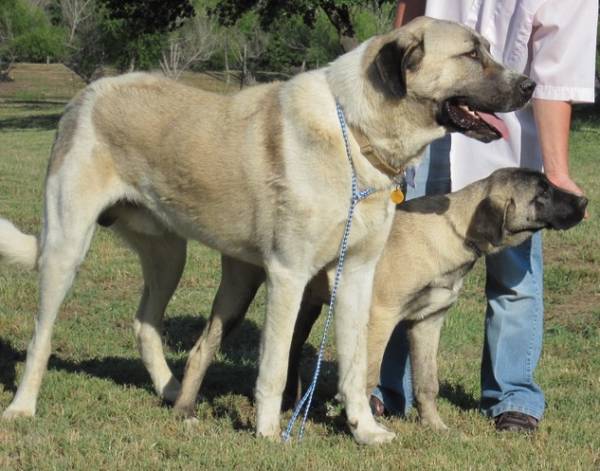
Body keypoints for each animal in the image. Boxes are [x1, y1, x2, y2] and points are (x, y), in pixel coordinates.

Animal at [0, 14, 536, 442]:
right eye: (471, 54)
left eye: (487, 48)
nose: (530, 85)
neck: (355, 134)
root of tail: (88, 93)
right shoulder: (288, 275)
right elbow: (276, 367)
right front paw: (268, 432)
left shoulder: (357, 277)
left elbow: (357, 364)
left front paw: (364, 431)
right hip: (67, 246)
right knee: (42, 335)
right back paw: (23, 407)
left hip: (169, 254)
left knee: (145, 323)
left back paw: (173, 392)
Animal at [182, 170, 584, 432]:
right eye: (543, 193)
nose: (584, 200)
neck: (450, 230)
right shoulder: (379, 317)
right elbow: (367, 374)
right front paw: (357, 421)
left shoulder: (428, 322)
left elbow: (427, 382)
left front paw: (435, 426)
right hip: (240, 290)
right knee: (203, 348)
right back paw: (184, 409)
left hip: (305, 301)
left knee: (291, 350)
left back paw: (289, 404)